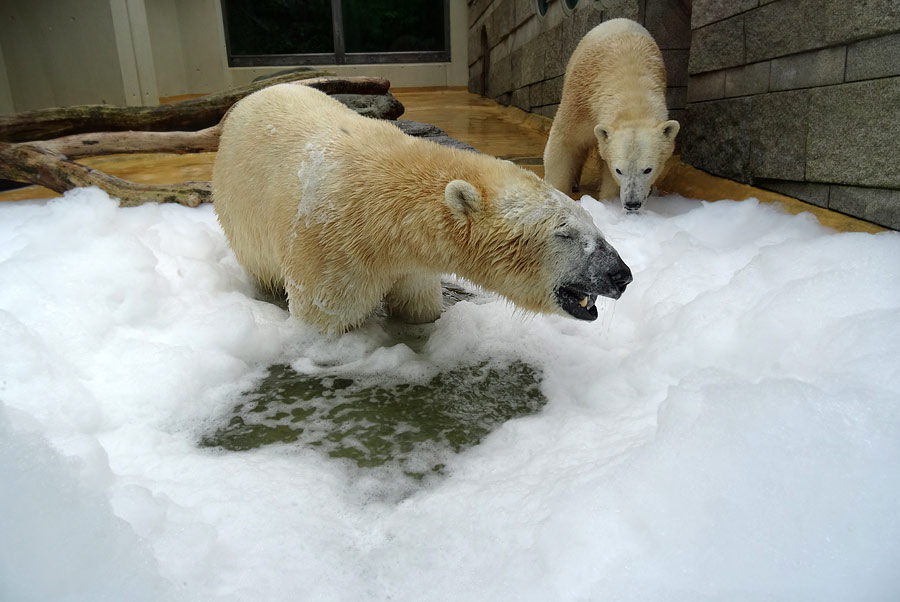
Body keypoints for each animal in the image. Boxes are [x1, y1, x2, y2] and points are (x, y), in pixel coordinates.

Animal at [213, 83, 632, 332]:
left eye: (590, 220)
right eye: (564, 232)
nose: (622, 274)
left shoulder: (413, 266)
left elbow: (418, 305)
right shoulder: (328, 253)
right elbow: (325, 317)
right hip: (241, 216)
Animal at [540, 18, 684, 212]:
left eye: (648, 169)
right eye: (619, 170)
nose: (632, 204)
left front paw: (609, 203)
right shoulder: (580, 102)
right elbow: (565, 142)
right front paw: (558, 193)